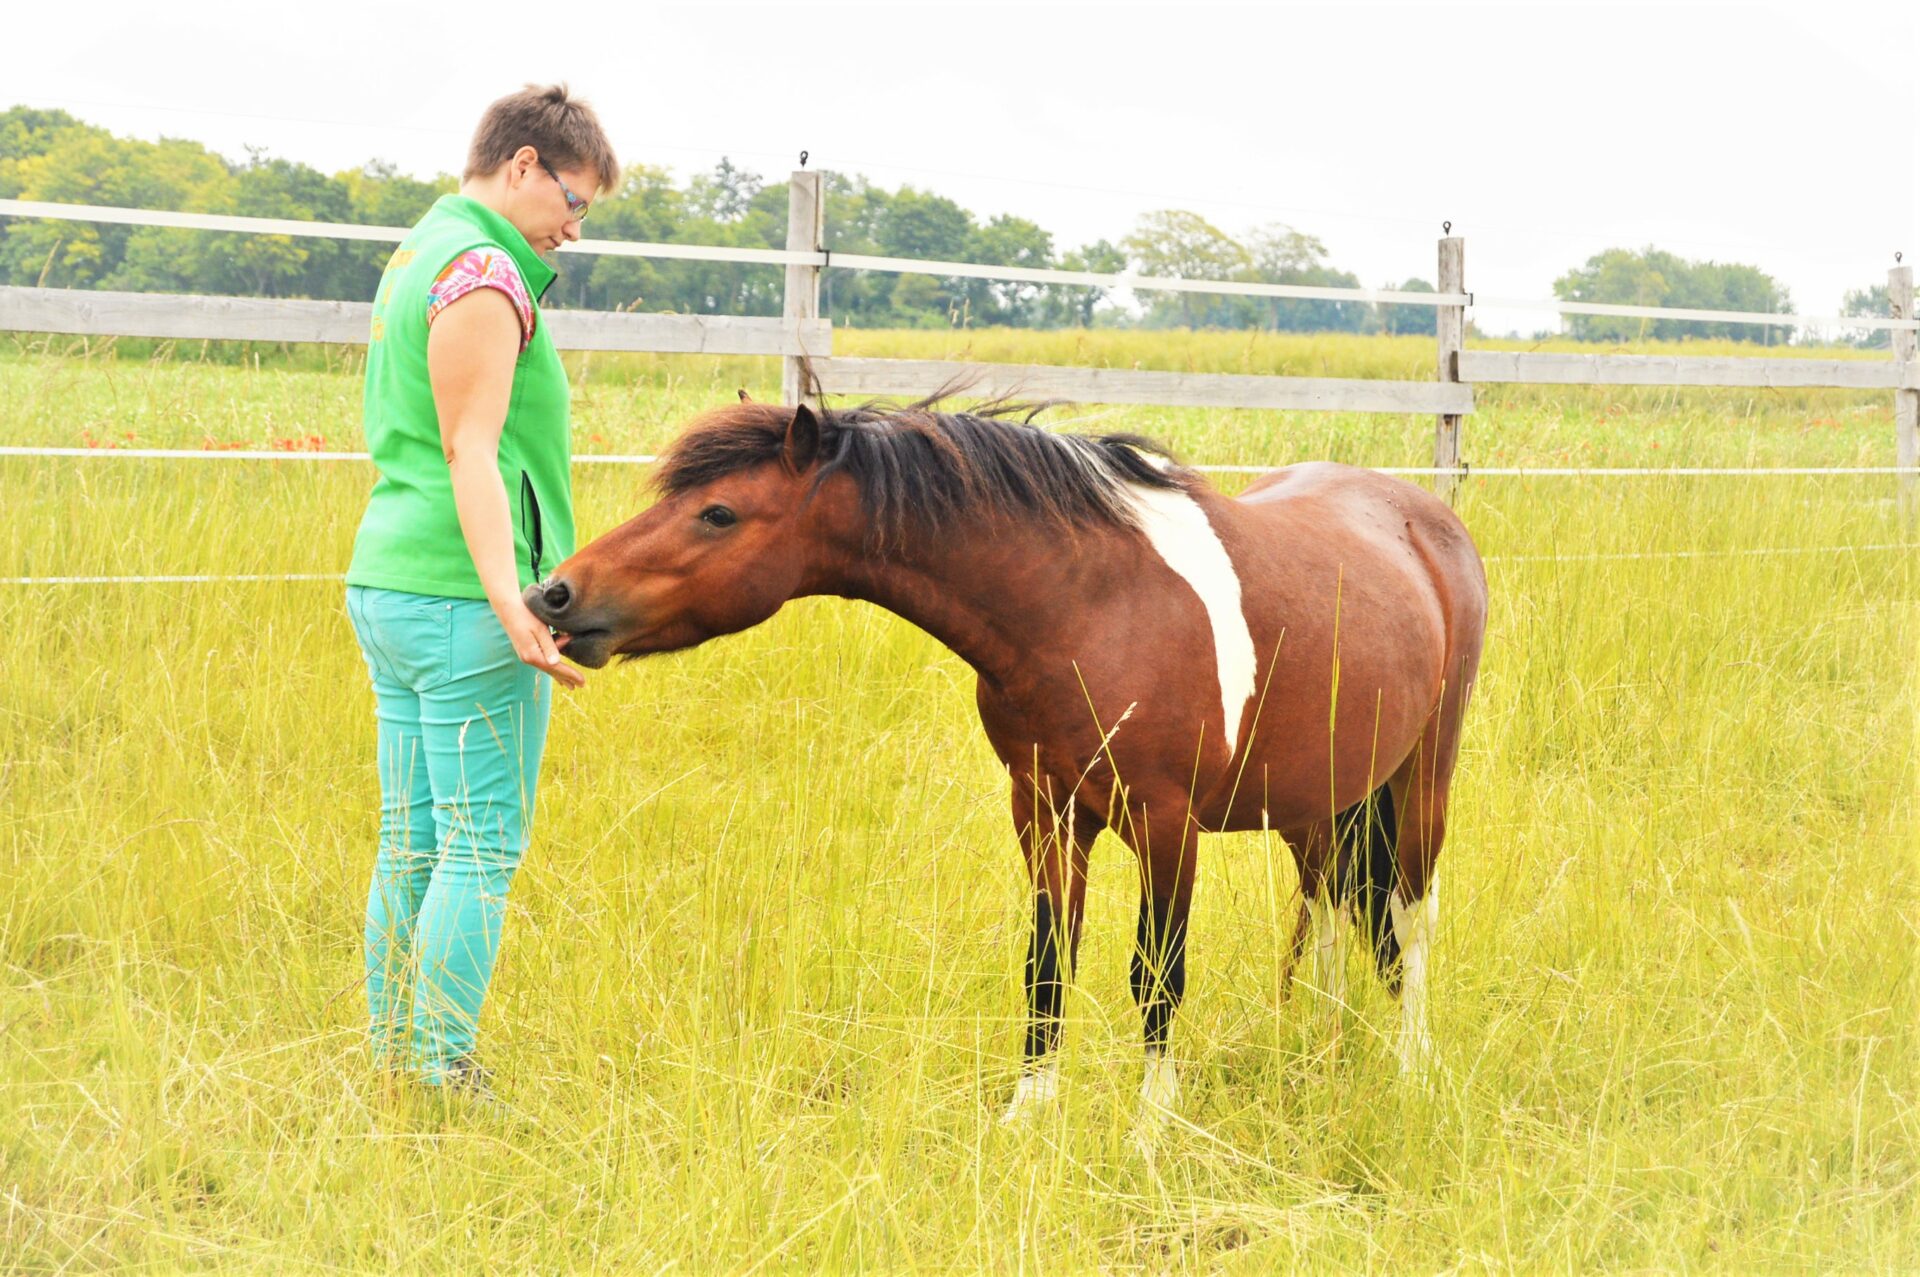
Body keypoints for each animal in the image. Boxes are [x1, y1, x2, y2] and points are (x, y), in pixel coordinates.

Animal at [526, 399, 1482, 1136]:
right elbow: (1047, 963)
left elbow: (1156, 974)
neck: (1088, 605)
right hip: (1318, 801)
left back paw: (1410, 1066)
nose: (554, 594)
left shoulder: (1166, 827)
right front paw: (1029, 1114)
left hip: (1421, 781)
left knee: (1410, 918)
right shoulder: (1046, 812)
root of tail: (1422, 521)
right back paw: (1320, 1046)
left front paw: (1150, 1128)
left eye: (719, 512)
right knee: (1331, 913)